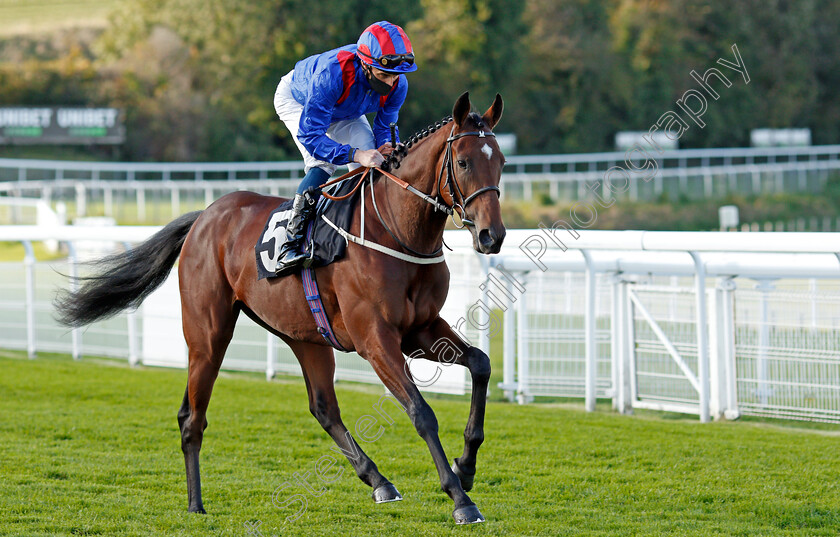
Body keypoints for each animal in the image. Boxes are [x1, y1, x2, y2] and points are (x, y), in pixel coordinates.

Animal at [59, 92, 508, 524]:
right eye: (464, 162)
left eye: (501, 163)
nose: (493, 235)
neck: (396, 230)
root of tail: (204, 216)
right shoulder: (375, 338)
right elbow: (421, 411)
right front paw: (461, 499)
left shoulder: (421, 329)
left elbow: (481, 364)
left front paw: (467, 466)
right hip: (208, 334)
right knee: (192, 418)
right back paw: (195, 504)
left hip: (305, 334)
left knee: (323, 407)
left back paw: (378, 481)